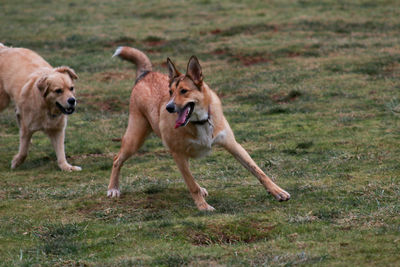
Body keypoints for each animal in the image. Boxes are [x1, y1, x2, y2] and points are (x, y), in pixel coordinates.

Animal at [0, 43, 81, 171]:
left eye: (71, 88)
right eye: (58, 91)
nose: (72, 101)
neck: (46, 108)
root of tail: (5, 48)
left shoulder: (57, 129)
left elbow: (61, 152)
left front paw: (66, 167)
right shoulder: (27, 128)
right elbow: (24, 151)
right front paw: (16, 162)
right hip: (2, 100)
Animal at [108, 47, 290, 211]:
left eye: (184, 91)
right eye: (170, 92)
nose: (169, 107)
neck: (200, 121)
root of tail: (146, 74)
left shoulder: (232, 144)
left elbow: (258, 170)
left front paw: (277, 192)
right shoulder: (177, 153)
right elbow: (191, 184)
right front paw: (203, 206)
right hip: (135, 139)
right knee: (117, 159)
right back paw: (113, 189)